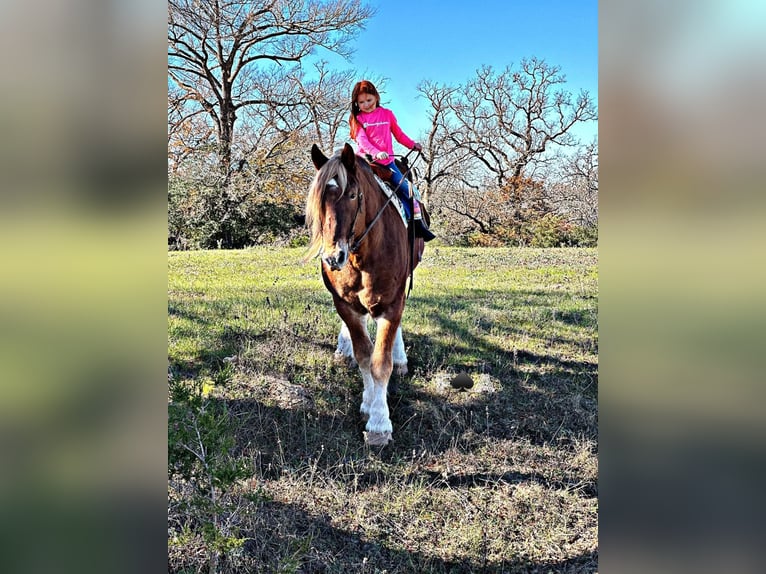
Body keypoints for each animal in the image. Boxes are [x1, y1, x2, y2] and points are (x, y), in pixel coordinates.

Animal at [304, 142, 426, 448]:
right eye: (320, 200)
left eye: (352, 195)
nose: (332, 257)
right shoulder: (346, 306)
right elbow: (364, 356)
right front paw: (369, 404)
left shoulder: (391, 303)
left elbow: (380, 362)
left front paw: (379, 424)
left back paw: (400, 357)